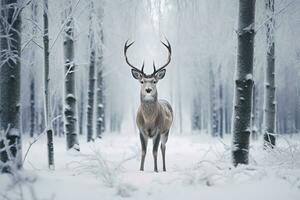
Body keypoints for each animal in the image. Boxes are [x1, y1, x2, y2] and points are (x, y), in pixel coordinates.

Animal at [123, 39, 173, 172]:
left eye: (154, 81)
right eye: (142, 81)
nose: (148, 90)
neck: (149, 121)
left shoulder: (159, 129)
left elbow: (154, 151)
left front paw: (156, 170)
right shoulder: (141, 130)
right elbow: (143, 151)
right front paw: (141, 170)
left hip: (166, 131)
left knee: (163, 147)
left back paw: (164, 168)